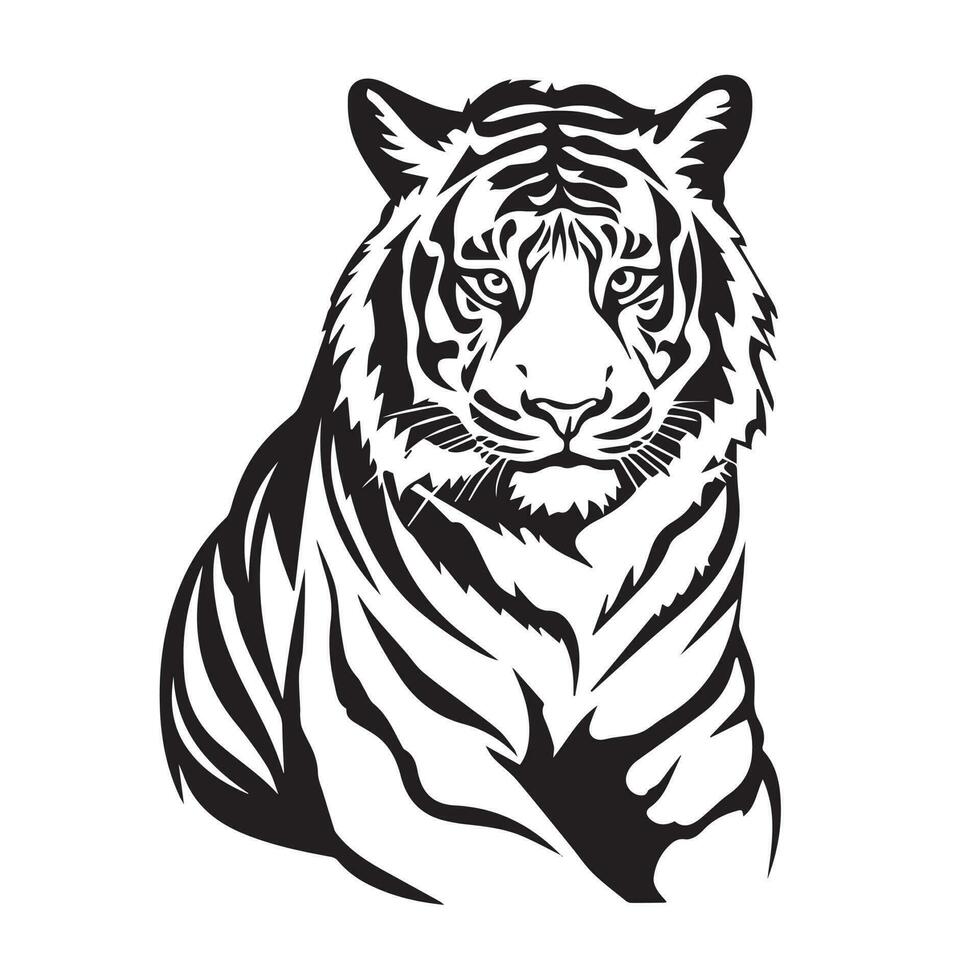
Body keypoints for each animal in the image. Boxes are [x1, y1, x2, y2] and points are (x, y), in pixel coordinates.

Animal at [160, 76, 780, 904]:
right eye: (490, 282)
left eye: (624, 280)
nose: (565, 407)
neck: (568, 550)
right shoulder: (425, 767)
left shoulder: (707, 768)